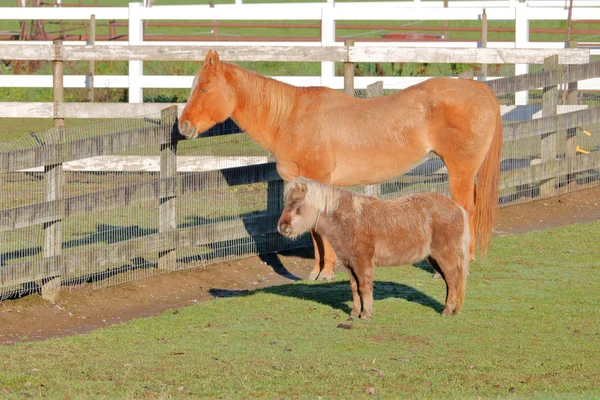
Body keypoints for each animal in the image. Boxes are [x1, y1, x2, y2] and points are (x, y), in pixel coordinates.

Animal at [180, 50, 504, 282]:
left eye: (205, 89)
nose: (183, 126)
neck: (291, 119)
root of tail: (481, 91)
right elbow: (314, 231)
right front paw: (317, 271)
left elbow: (321, 230)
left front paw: (326, 271)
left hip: (461, 170)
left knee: (466, 210)